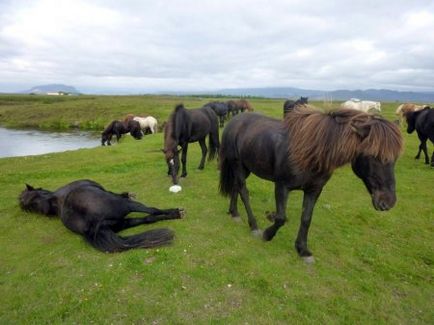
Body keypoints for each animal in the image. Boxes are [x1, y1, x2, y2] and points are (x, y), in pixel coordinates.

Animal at [19, 180, 183, 251]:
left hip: (122, 223)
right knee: (152, 211)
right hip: (127, 207)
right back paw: (176, 213)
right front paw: (128, 193)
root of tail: (89, 225)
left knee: (148, 218)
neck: (54, 199)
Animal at [220, 107, 404, 262]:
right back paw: (254, 226)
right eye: (373, 155)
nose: (388, 202)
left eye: (395, 158)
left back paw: (234, 213)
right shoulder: (282, 186)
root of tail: (234, 121)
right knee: (243, 191)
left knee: (236, 187)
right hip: (237, 164)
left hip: (245, 168)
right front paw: (267, 235)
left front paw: (302, 250)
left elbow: (306, 218)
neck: (312, 152)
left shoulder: (314, 190)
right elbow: (281, 218)